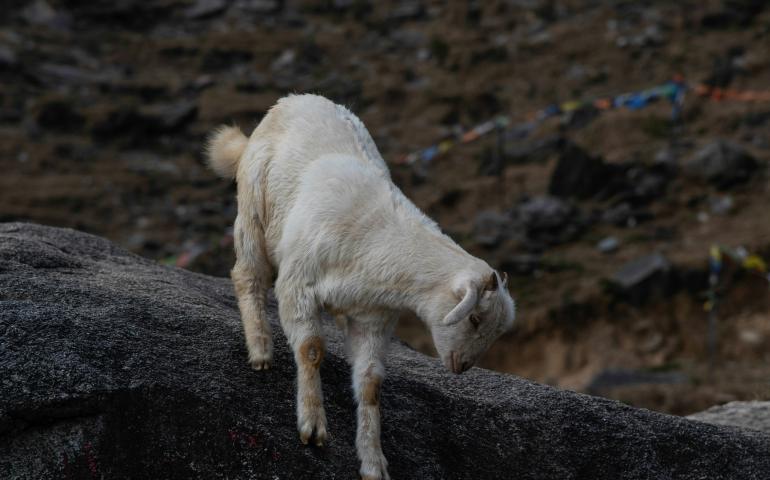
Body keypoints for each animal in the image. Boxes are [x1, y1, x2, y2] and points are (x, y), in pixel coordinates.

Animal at [206, 94, 516, 479]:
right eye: (474, 319)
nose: (463, 367)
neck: (378, 237)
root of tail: (295, 99)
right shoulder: (298, 284)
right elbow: (310, 349)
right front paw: (312, 425)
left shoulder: (373, 318)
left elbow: (370, 385)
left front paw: (372, 461)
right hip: (253, 211)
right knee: (247, 275)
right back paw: (260, 349)